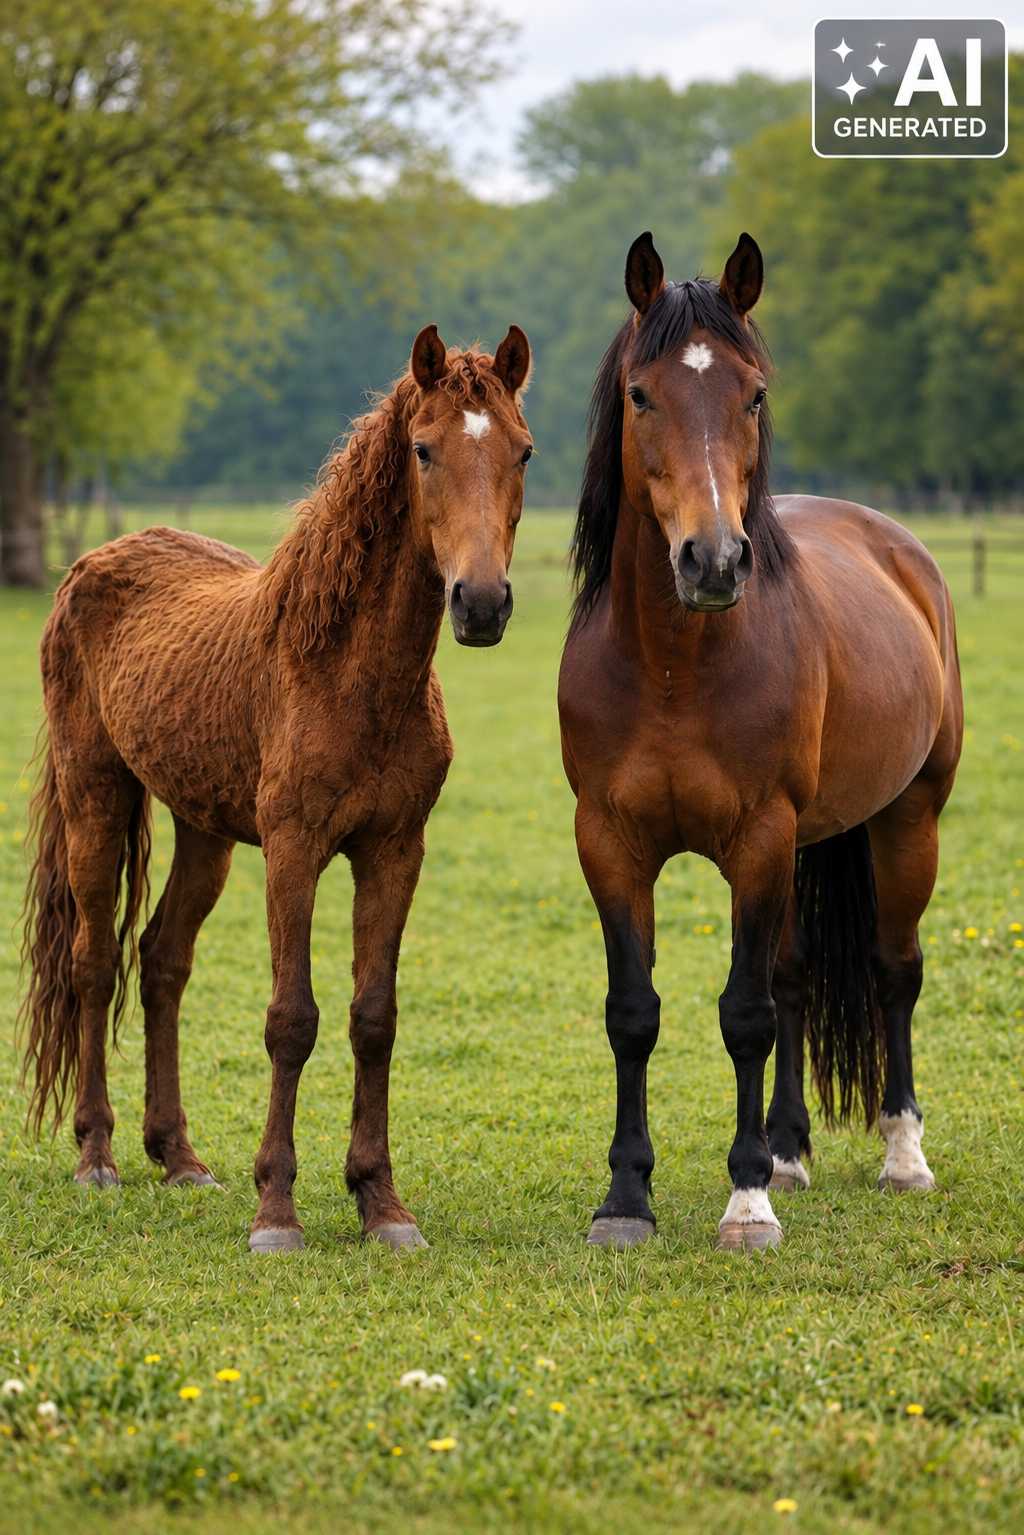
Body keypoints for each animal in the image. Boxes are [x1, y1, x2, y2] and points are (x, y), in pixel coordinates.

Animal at [21, 322, 533, 1254]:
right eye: (424, 448)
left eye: (522, 450)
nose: (480, 603)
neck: (345, 670)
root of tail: (91, 563)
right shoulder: (294, 849)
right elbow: (291, 1019)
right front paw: (277, 1212)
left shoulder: (394, 850)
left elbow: (374, 1017)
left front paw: (381, 1203)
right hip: (94, 796)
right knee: (92, 961)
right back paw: (98, 1156)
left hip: (205, 830)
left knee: (162, 960)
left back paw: (179, 1157)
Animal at [558, 232, 963, 1252]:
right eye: (640, 393)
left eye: (753, 393)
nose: (712, 561)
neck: (674, 668)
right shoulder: (609, 842)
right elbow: (635, 1012)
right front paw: (627, 1197)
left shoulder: (759, 838)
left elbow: (743, 1013)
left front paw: (746, 1204)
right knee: (794, 979)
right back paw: (787, 1148)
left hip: (908, 820)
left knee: (893, 971)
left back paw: (902, 1153)